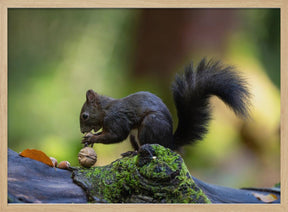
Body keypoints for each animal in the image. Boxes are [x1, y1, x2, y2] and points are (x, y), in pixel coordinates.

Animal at [80, 58, 251, 151]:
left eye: (85, 116)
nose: (82, 131)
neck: (106, 110)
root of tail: (169, 143)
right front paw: (89, 137)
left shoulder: (116, 119)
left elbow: (116, 135)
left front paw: (92, 138)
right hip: (135, 136)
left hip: (150, 125)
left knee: (147, 146)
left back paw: (134, 153)